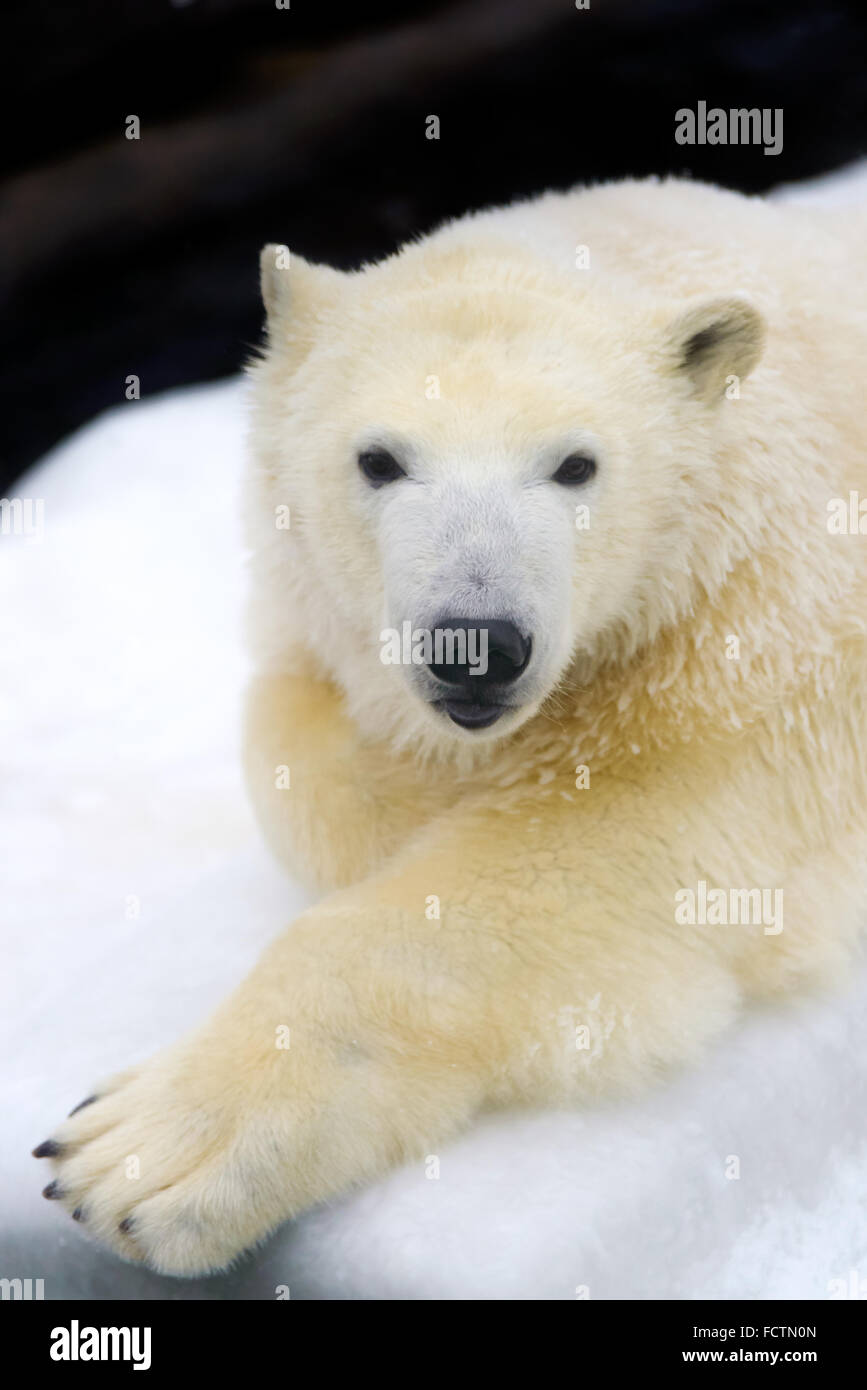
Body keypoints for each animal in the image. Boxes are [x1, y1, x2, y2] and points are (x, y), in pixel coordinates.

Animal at [37, 179, 867, 1273]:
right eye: (379, 459)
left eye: (576, 464)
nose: (478, 645)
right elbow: (300, 750)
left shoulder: (760, 655)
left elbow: (607, 859)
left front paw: (135, 1152)